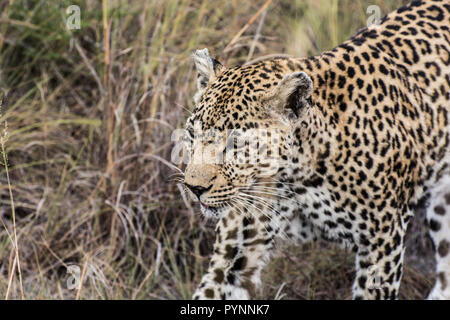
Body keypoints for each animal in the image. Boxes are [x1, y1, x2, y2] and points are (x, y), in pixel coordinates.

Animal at [180, 0, 450, 300]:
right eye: (192, 135)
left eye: (236, 144)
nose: (194, 188)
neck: (297, 177)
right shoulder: (238, 246)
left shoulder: (383, 241)